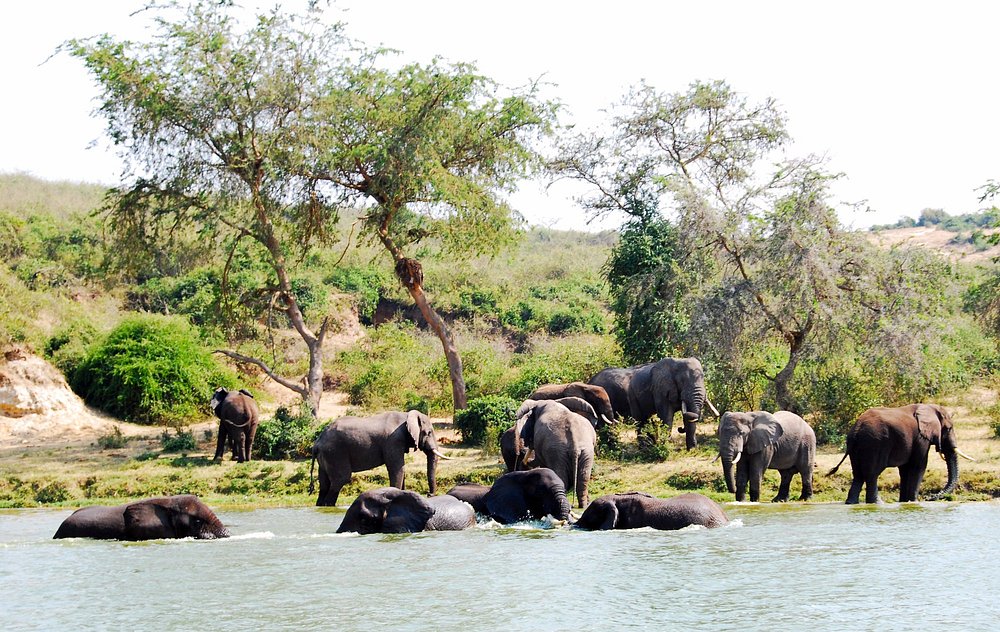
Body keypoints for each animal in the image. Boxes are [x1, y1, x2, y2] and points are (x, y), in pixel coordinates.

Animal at [310, 410, 450, 507]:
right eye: (429, 432)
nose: (429, 494)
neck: (406, 415)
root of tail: (317, 443)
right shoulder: (393, 441)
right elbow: (396, 469)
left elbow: (401, 470)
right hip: (335, 453)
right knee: (340, 479)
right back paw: (329, 506)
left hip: (326, 456)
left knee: (324, 484)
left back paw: (320, 506)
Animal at [828, 404, 974, 504]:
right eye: (949, 428)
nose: (929, 497)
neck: (929, 407)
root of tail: (856, 429)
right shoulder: (920, 438)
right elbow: (918, 466)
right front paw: (914, 502)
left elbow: (904, 470)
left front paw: (904, 502)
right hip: (875, 444)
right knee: (872, 474)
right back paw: (878, 503)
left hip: (858, 447)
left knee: (858, 475)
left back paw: (851, 503)